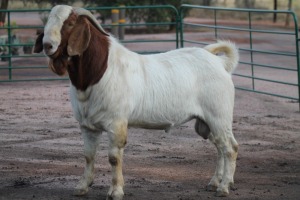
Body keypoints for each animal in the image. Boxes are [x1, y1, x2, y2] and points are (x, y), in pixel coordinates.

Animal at [34, 5, 239, 200]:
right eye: (48, 21)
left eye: (70, 23)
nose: (47, 45)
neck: (99, 71)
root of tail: (220, 63)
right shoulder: (87, 126)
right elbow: (88, 156)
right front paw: (82, 186)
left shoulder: (116, 124)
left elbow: (114, 158)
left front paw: (116, 191)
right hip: (207, 122)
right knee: (220, 147)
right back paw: (215, 182)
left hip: (219, 116)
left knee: (230, 148)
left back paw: (223, 187)